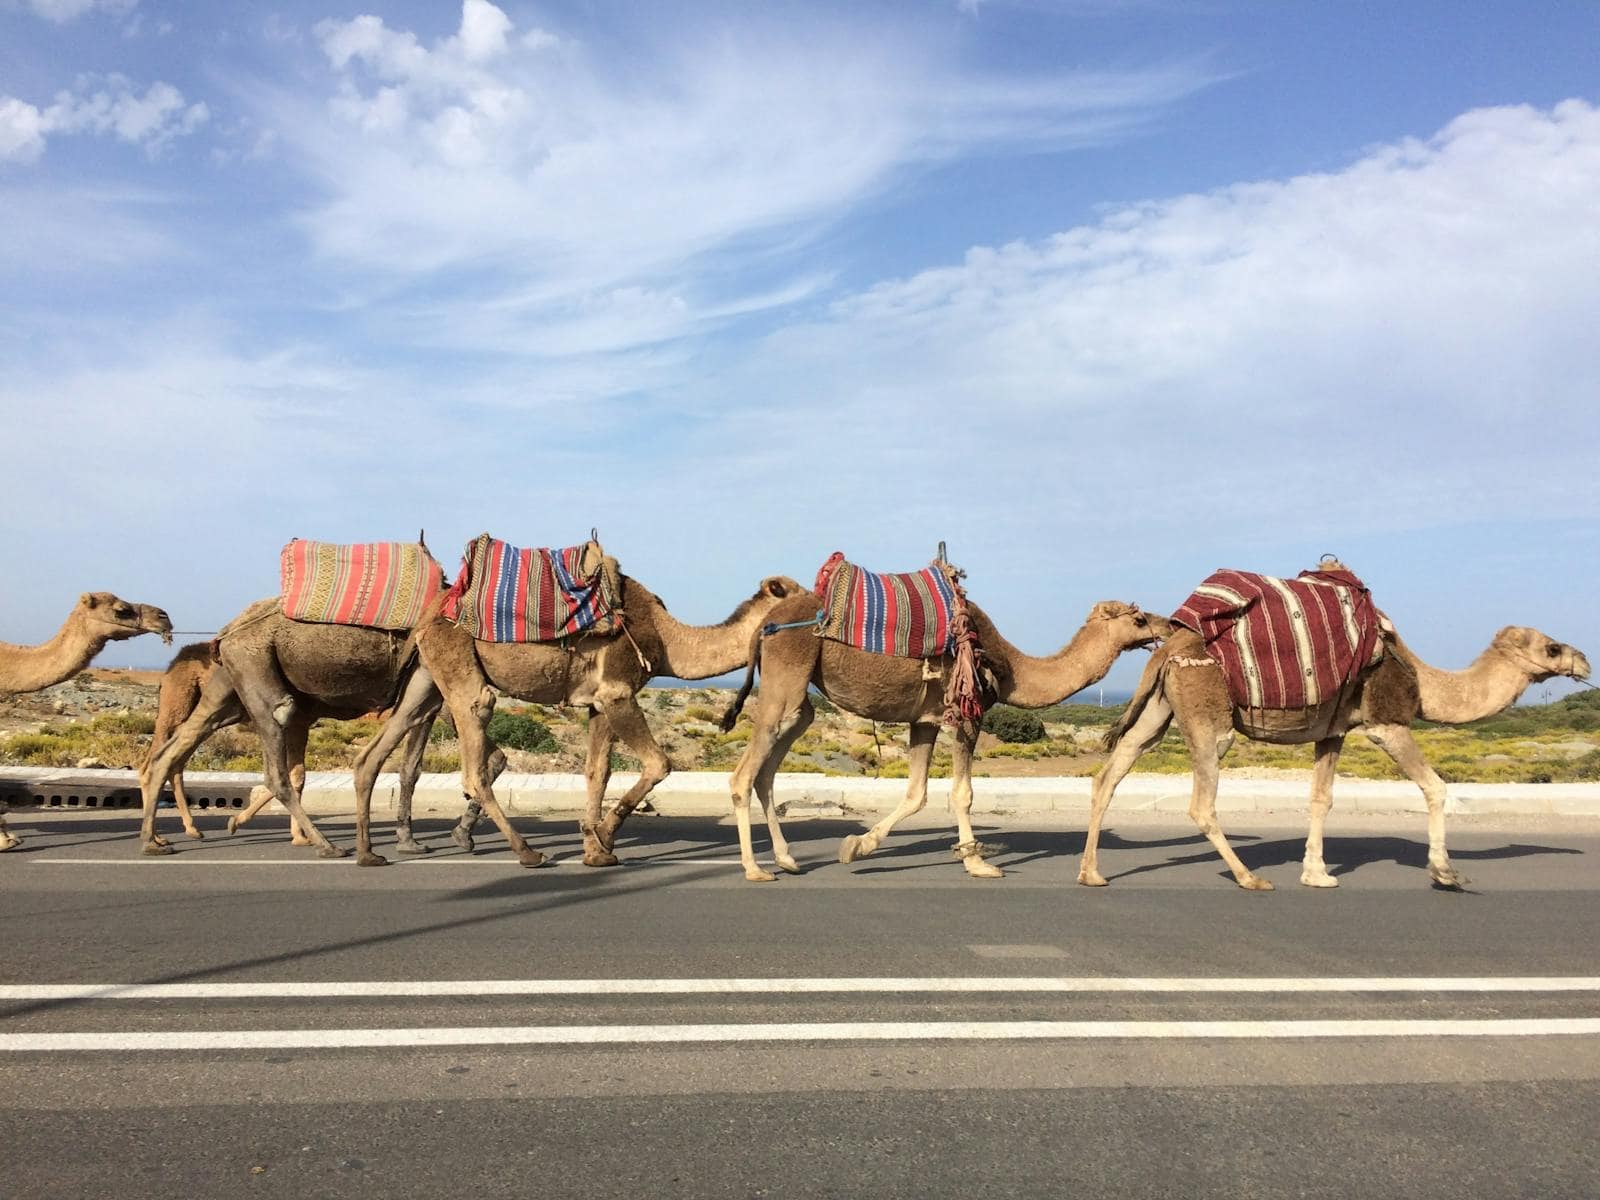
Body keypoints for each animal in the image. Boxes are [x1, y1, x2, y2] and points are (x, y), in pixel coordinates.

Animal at [136, 602, 452, 858]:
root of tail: (229, 631)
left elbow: (410, 769)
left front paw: (409, 842)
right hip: (251, 666)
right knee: (275, 757)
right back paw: (326, 845)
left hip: (226, 689)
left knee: (169, 753)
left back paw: (153, 840)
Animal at [347, 573, 804, 868]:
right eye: (801, 594)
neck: (668, 640)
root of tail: (428, 614)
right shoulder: (618, 690)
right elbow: (659, 764)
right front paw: (604, 836)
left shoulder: (598, 703)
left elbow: (597, 772)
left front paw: (595, 849)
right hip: (457, 663)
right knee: (475, 746)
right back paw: (527, 852)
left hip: (425, 675)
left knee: (375, 751)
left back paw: (369, 853)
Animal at [719, 595, 1168, 882]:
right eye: (1138, 618)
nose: (1168, 624)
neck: (1012, 668)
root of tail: (764, 627)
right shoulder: (968, 713)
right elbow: (962, 793)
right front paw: (978, 864)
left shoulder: (926, 720)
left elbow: (917, 792)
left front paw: (857, 846)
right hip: (786, 676)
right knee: (743, 775)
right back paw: (754, 869)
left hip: (799, 698)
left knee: (766, 770)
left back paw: (787, 859)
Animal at [1078, 624, 1590, 891]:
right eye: (1552, 647)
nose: (1584, 660)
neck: (1422, 680)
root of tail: (1163, 653)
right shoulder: (1387, 723)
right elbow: (1436, 786)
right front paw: (1445, 872)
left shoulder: (1334, 732)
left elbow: (1321, 799)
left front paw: (1316, 873)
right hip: (1208, 716)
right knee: (1201, 801)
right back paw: (1249, 878)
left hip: (1159, 708)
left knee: (1112, 771)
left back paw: (1091, 873)